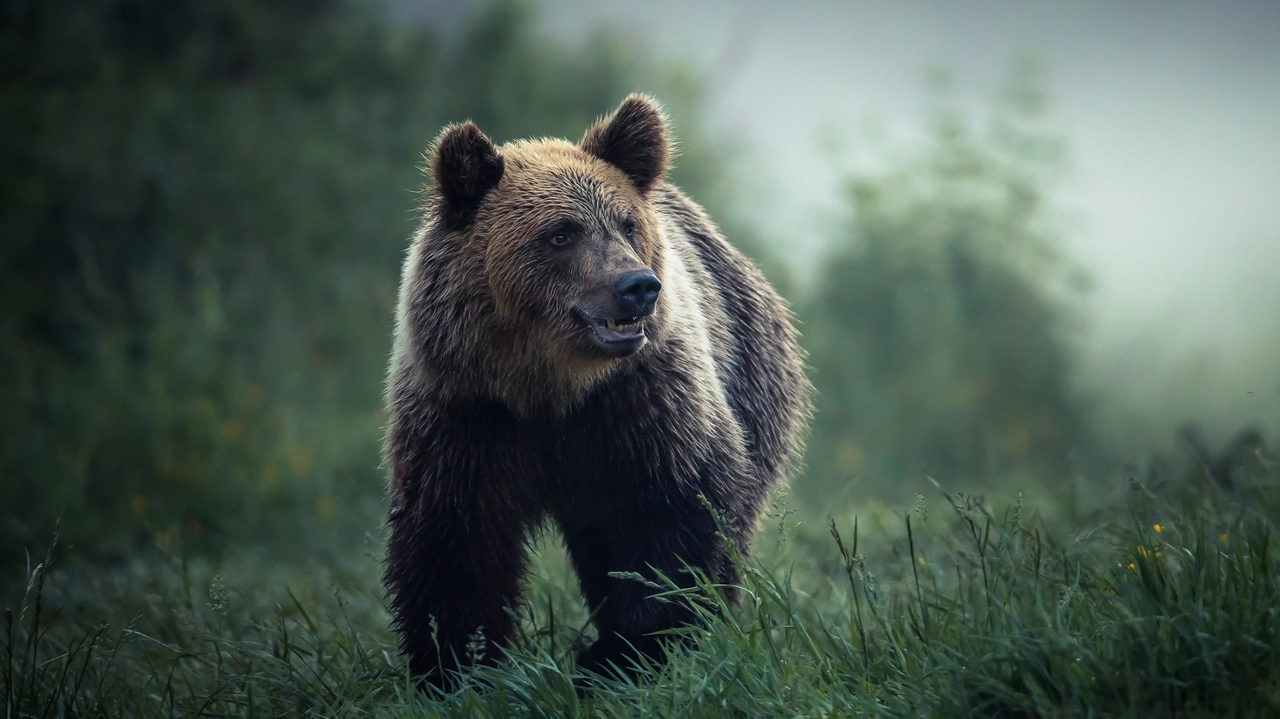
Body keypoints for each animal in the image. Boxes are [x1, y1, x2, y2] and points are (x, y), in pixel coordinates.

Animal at [378, 95, 814, 680]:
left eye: (627, 225)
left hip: (754, 383)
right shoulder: (465, 413)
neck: (548, 389)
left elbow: (672, 518)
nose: (638, 286)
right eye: (561, 233)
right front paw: (456, 662)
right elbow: (454, 540)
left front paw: (634, 650)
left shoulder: (642, 408)